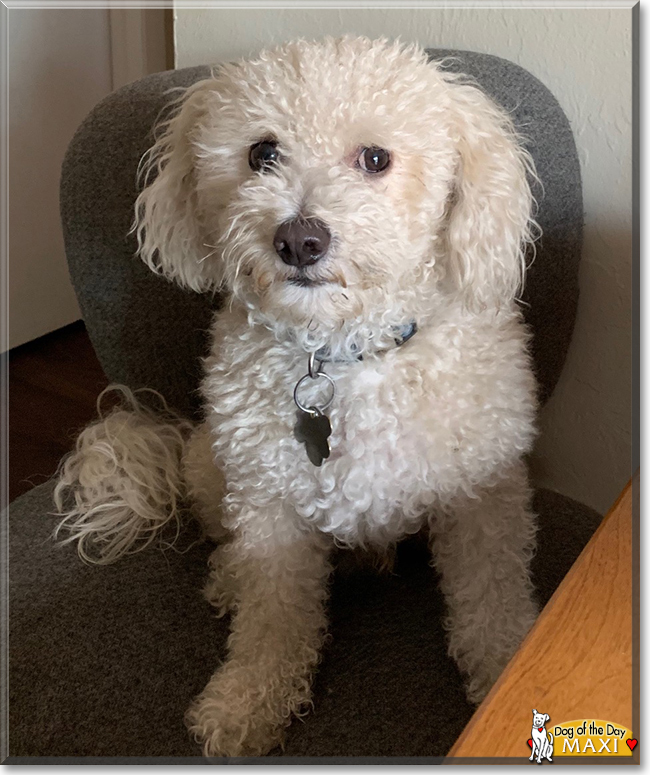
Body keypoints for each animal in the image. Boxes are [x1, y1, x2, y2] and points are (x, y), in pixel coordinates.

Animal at [55, 38, 540, 756]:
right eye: (262, 153)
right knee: (228, 545)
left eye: (375, 158)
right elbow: (272, 616)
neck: (340, 355)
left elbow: (492, 594)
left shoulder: (483, 497)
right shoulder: (269, 508)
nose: (299, 239)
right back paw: (228, 577)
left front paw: (511, 668)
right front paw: (246, 700)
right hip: (214, 465)